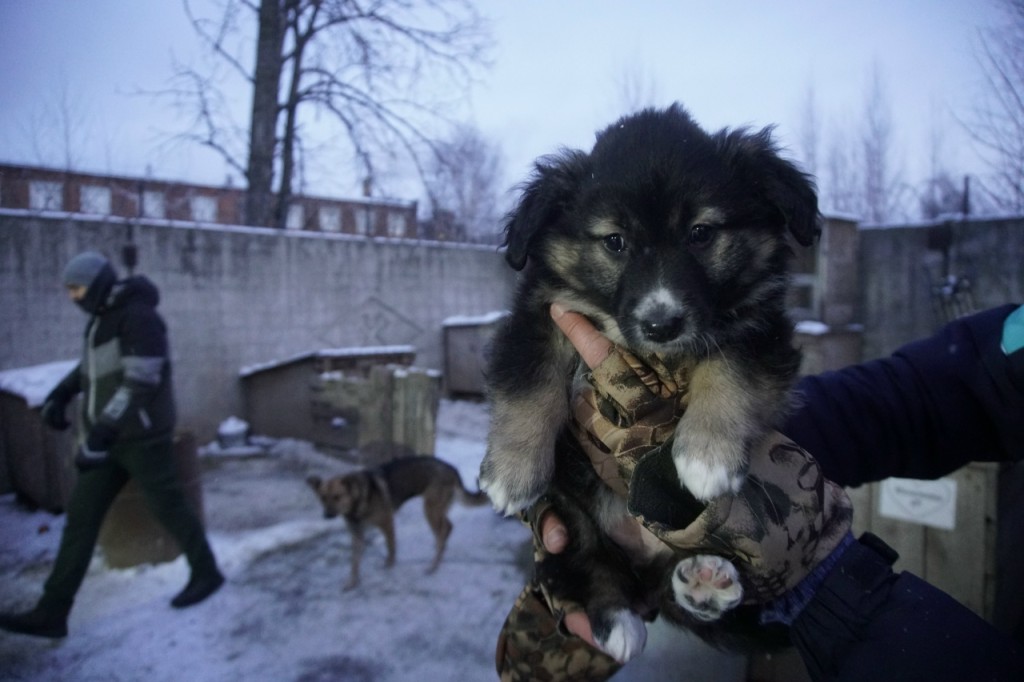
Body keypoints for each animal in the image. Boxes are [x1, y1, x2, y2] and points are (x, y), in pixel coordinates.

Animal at [307, 455, 488, 590]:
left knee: (442, 530)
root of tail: (453, 469)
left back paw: (434, 565)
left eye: (337, 496)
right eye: (322, 497)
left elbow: (391, 547)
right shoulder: (357, 534)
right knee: (447, 527)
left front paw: (389, 564)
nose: (326, 515)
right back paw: (440, 547)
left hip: (430, 509)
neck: (356, 502)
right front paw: (352, 582)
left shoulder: (387, 523)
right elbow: (354, 562)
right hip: (437, 509)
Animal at [478, 104, 818, 660]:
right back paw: (616, 618)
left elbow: (730, 372)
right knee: (582, 565)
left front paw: (706, 456)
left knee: (680, 590)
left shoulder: (761, 329)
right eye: (615, 242)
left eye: (701, 233)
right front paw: (511, 472)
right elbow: (529, 387)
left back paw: (703, 582)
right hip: (566, 519)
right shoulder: (543, 313)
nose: (662, 325)